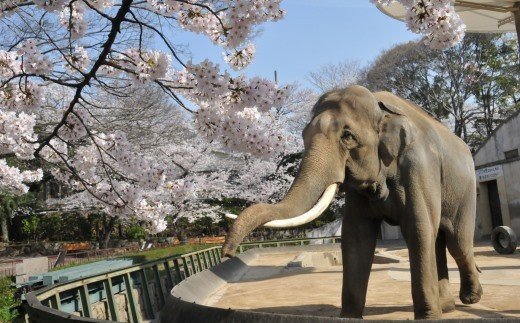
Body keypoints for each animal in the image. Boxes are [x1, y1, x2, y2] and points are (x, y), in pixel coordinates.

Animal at [220, 85, 484, 320]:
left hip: (465, 193)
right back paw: (448, 306)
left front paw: (428, 317)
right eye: (303, 136)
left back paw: (471, 298)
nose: (227, 254)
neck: (380, 108)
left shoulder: (418, 167)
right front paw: (348, 316)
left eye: (347, 137)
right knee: (439, 240)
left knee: (457, 242)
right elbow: (356, 237)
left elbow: (418, 230)